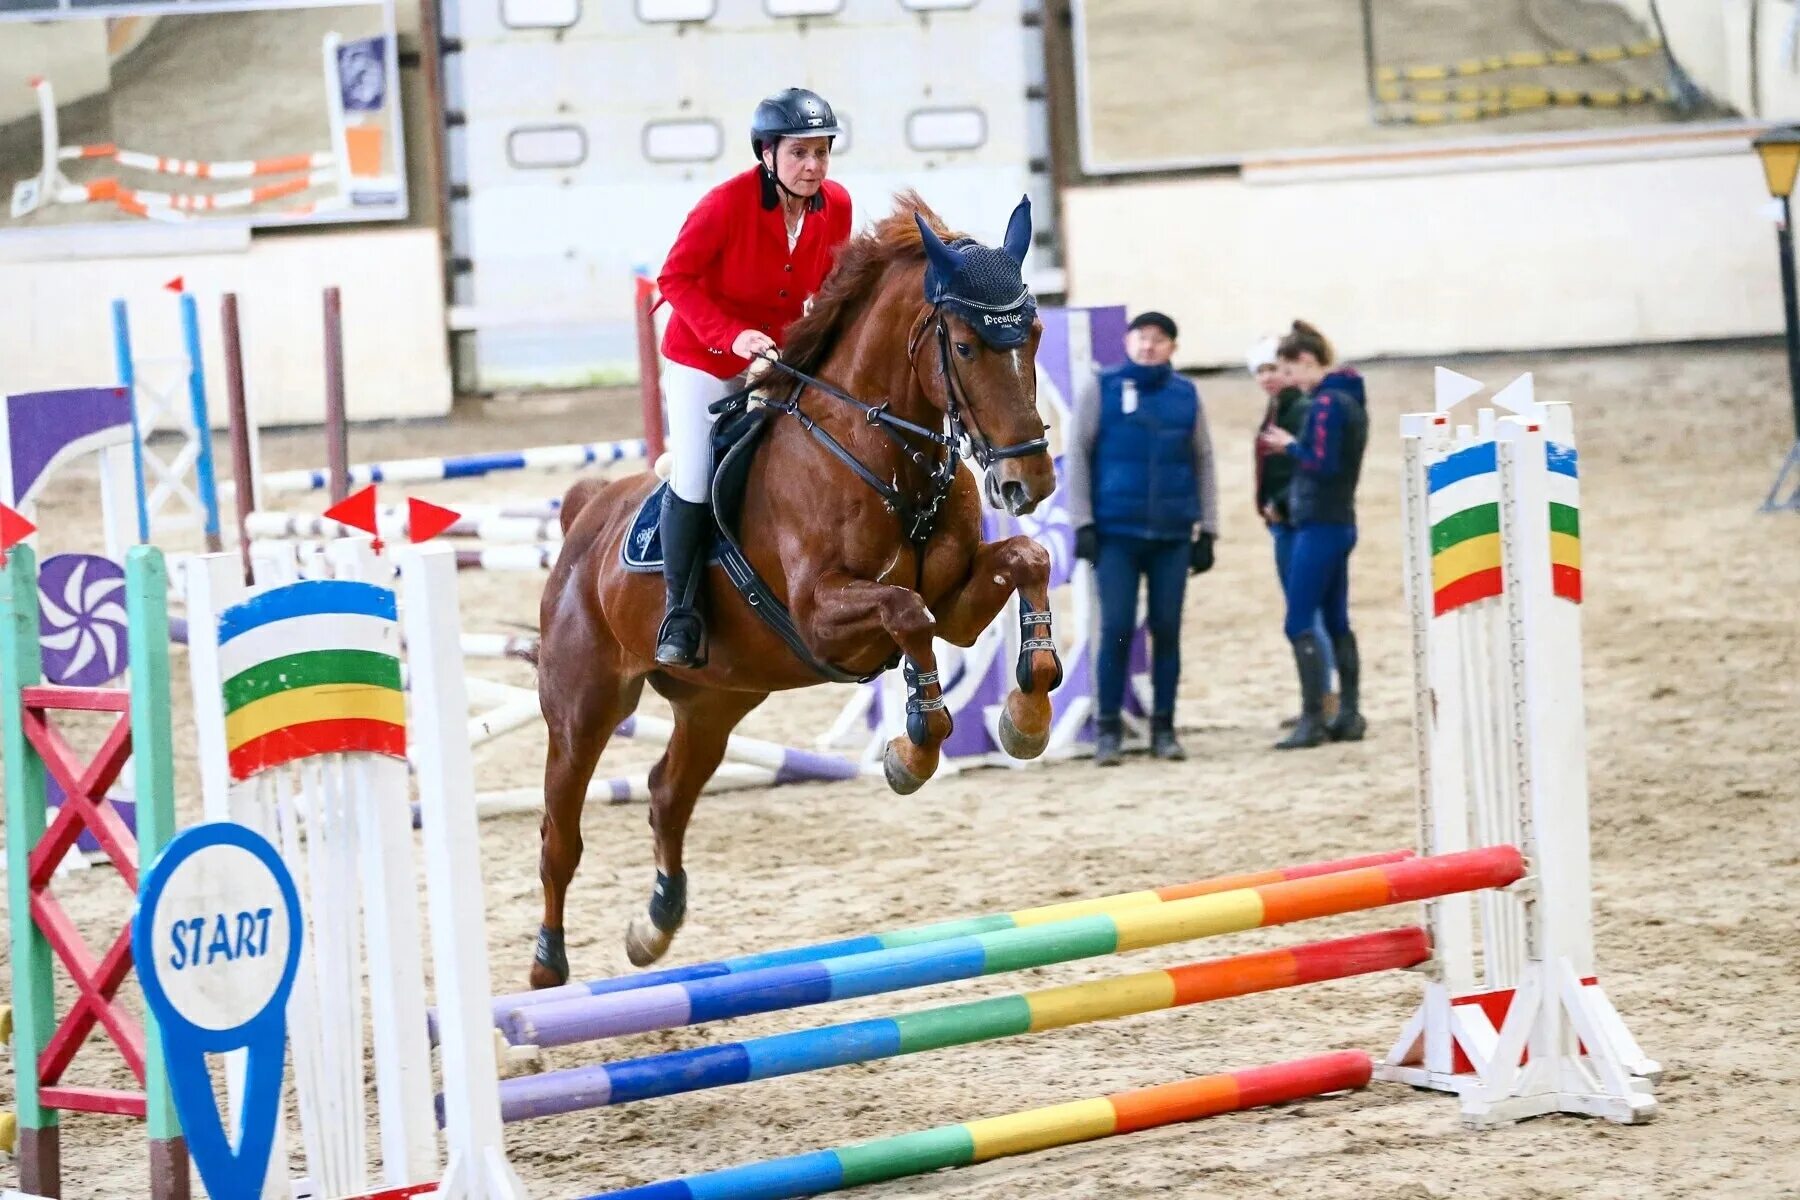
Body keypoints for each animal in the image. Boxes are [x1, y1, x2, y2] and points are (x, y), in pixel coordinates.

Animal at [525, 195, 1058, 985]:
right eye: (964, 348)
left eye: (1035, 334)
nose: (1030, 482)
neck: (883, 456)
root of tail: (585, 514)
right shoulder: (820, 617)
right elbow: (907, 611)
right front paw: (913, 749)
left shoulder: (960, 604)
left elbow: (1028, 559)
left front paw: (1027, 714)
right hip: (582, 708)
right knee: (561, 835)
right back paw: (546, 966)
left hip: (718, 701)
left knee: (665, 794)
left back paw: (655, 926)